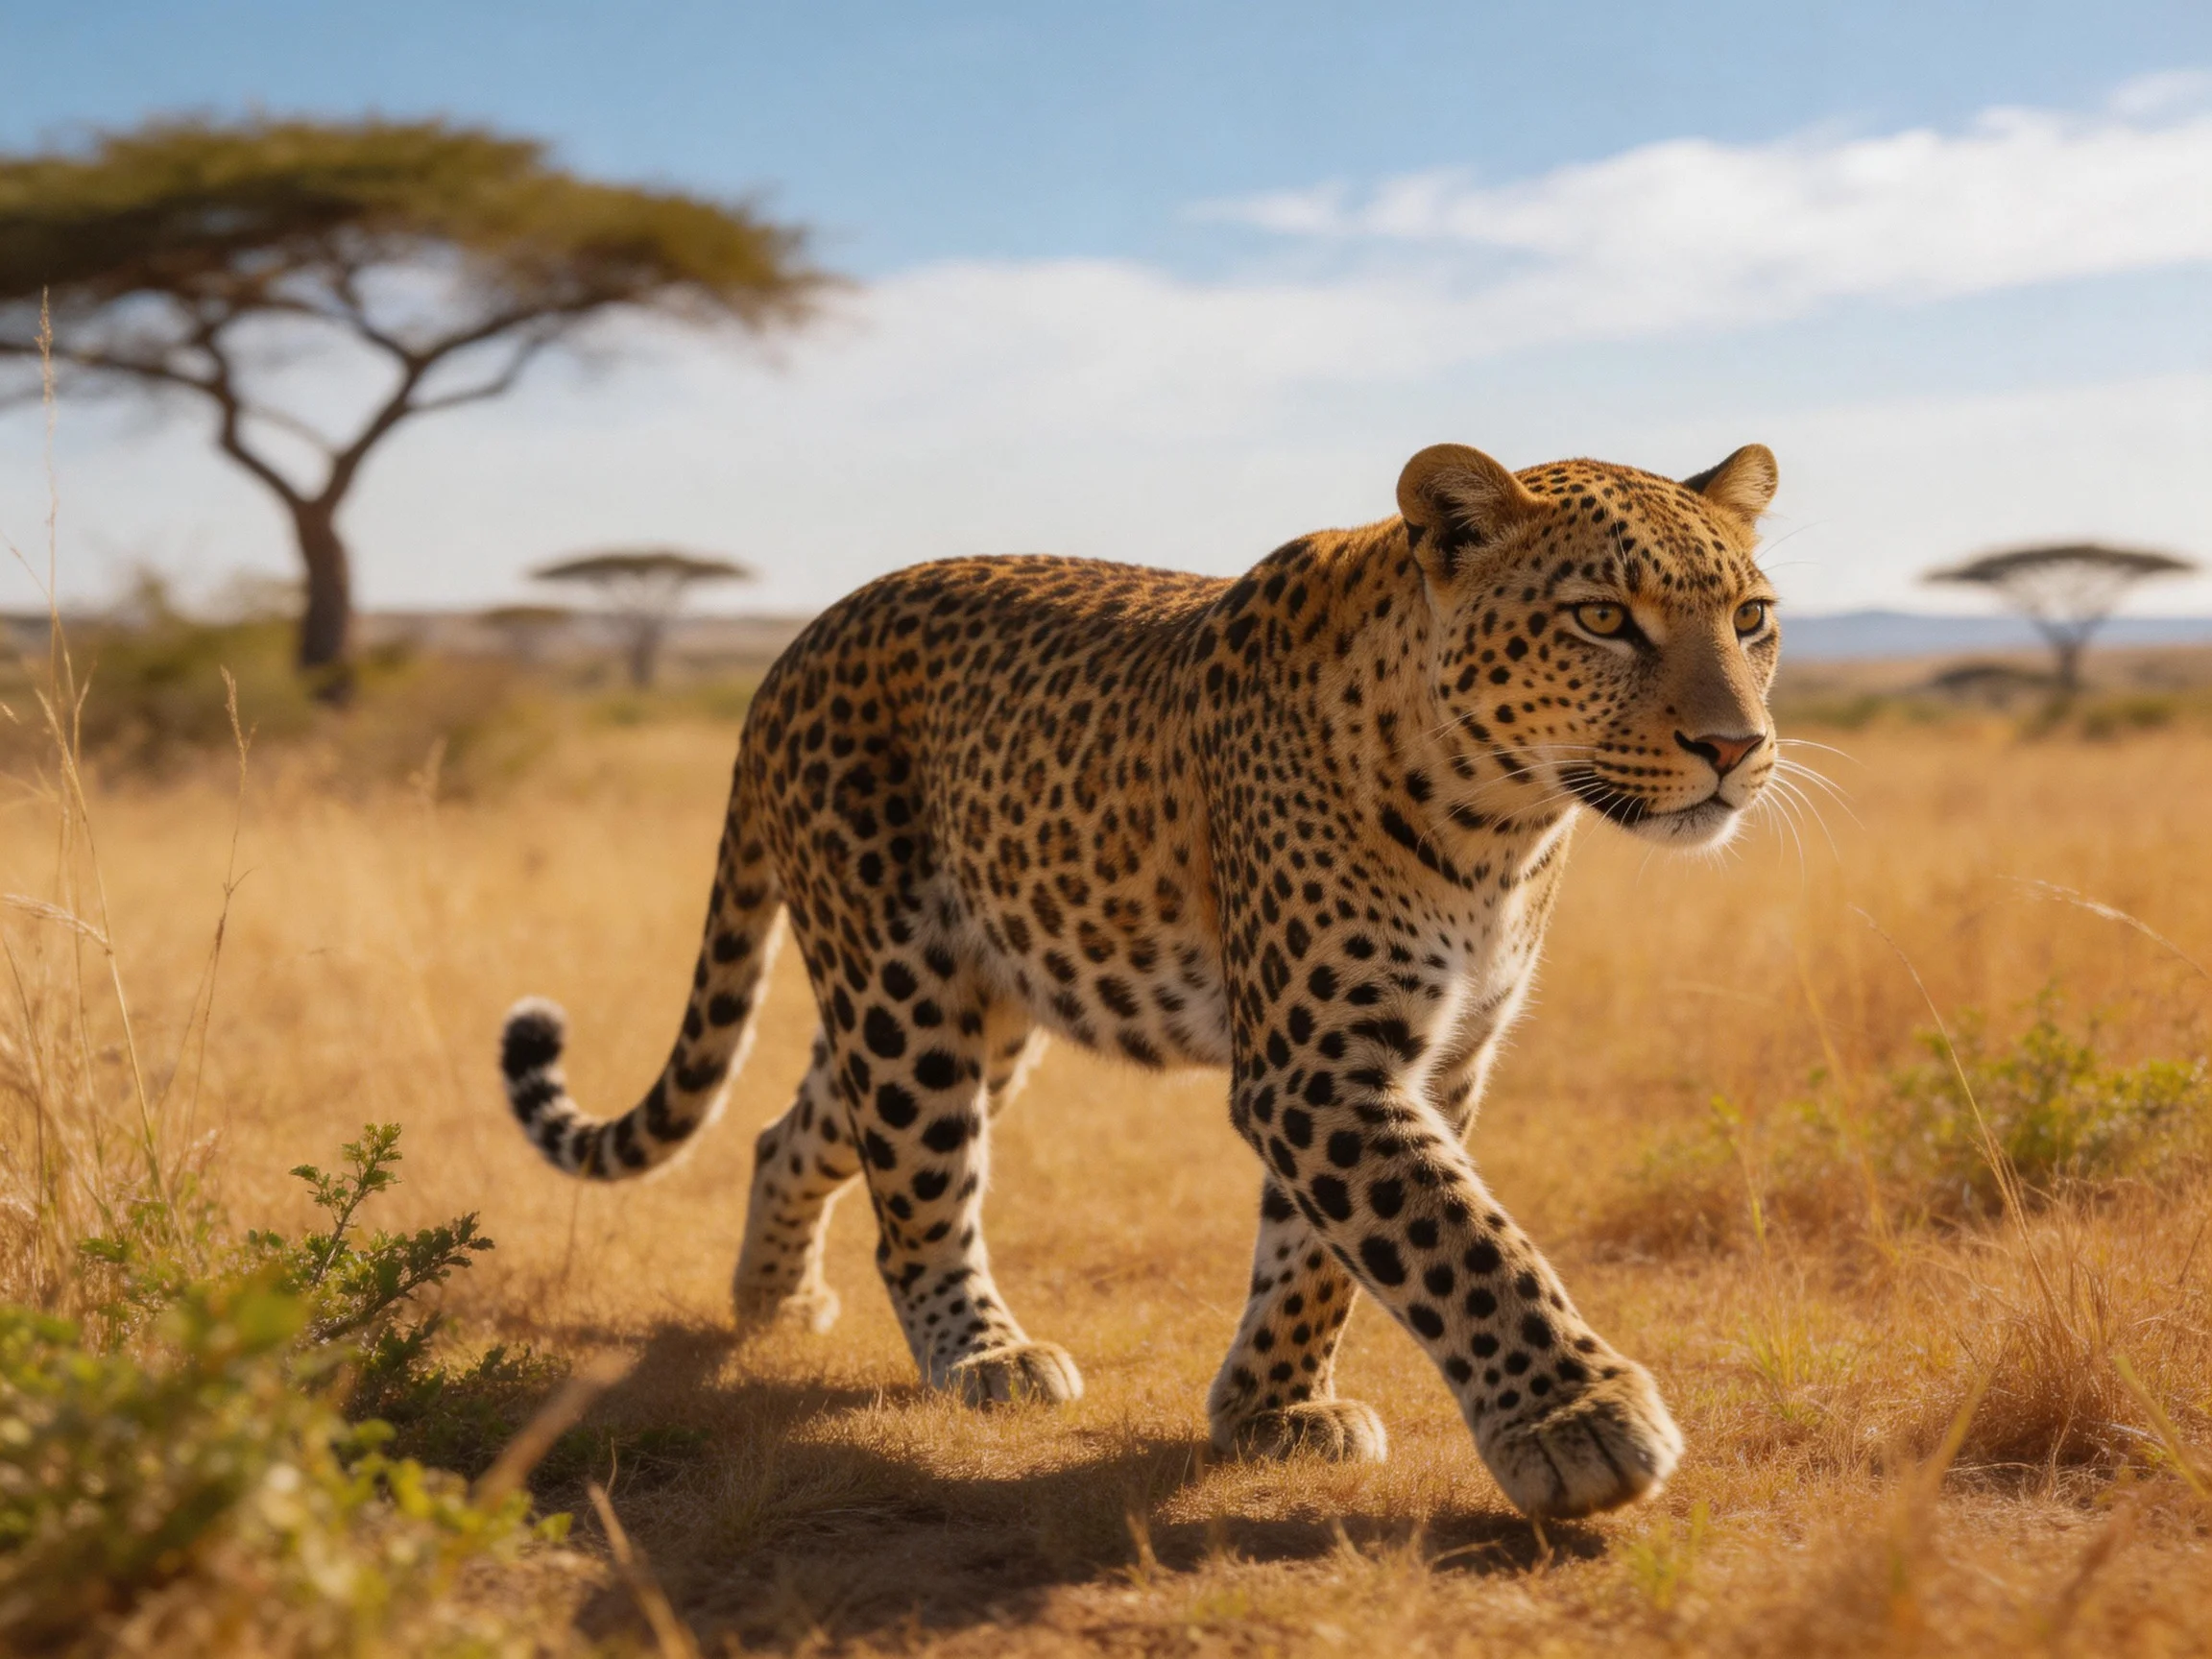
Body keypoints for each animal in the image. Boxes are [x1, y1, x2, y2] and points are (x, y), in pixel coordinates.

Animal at [496, 439, 1782, 1520]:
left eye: (1753, 618)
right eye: (1603, 618)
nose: (1738, 748)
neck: (1503, 824)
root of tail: (795, 645)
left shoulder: (1434, 1059)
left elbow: (1328, 1254)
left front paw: (1271, 1408)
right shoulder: (1319, 1067)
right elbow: (1457, 1241)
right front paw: (1577, 1422)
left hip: (983, 1004)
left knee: (802, 1127)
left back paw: (772, 1302)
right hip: (900, 987)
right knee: (917, 1188)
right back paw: (983, 1353)